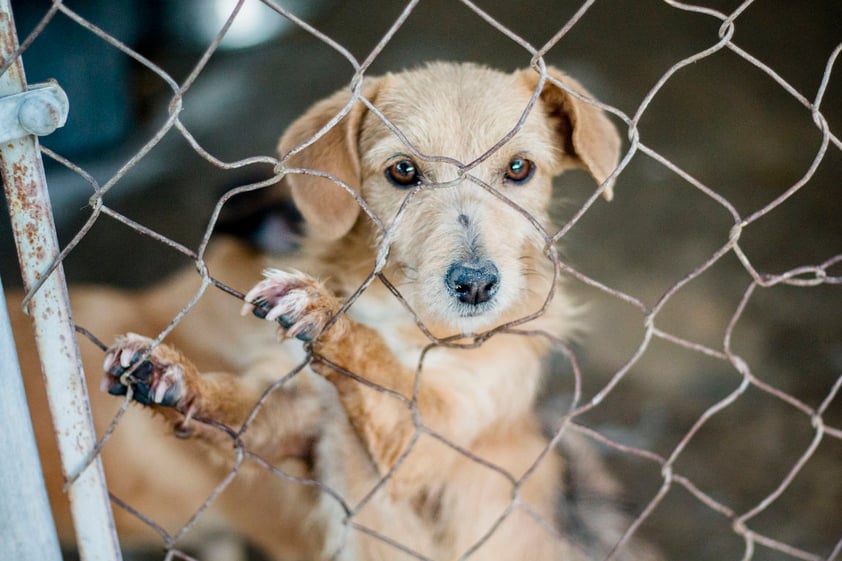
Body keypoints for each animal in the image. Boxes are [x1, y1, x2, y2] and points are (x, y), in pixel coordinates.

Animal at [13, 62, 656, 560]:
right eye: (403, 171)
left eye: (519, 169)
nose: (475, 285)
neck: (407, 321)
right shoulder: (292, 421)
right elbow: (232, 406)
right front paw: (171, 374)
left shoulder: (434, 441)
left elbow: (382, 369)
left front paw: (325, 313)